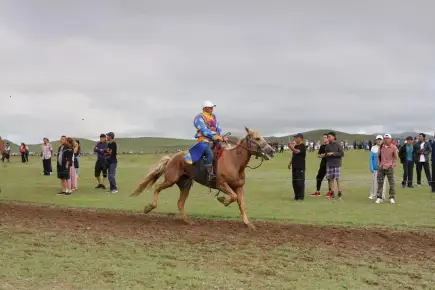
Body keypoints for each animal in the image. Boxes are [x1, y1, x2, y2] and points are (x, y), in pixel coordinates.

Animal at [131, 127, 278, 229]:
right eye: (257, 138)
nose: (271, 151)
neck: (234, 162)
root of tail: (172, 158)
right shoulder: (221, 185)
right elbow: (233, 197)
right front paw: (223, 199)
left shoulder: (239, 187)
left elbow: (241, 204)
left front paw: (248, 224)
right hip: (170, 180)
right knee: (157, 187)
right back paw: (149, 207)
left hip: (185, 185)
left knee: (180, 202)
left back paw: (187, 220)